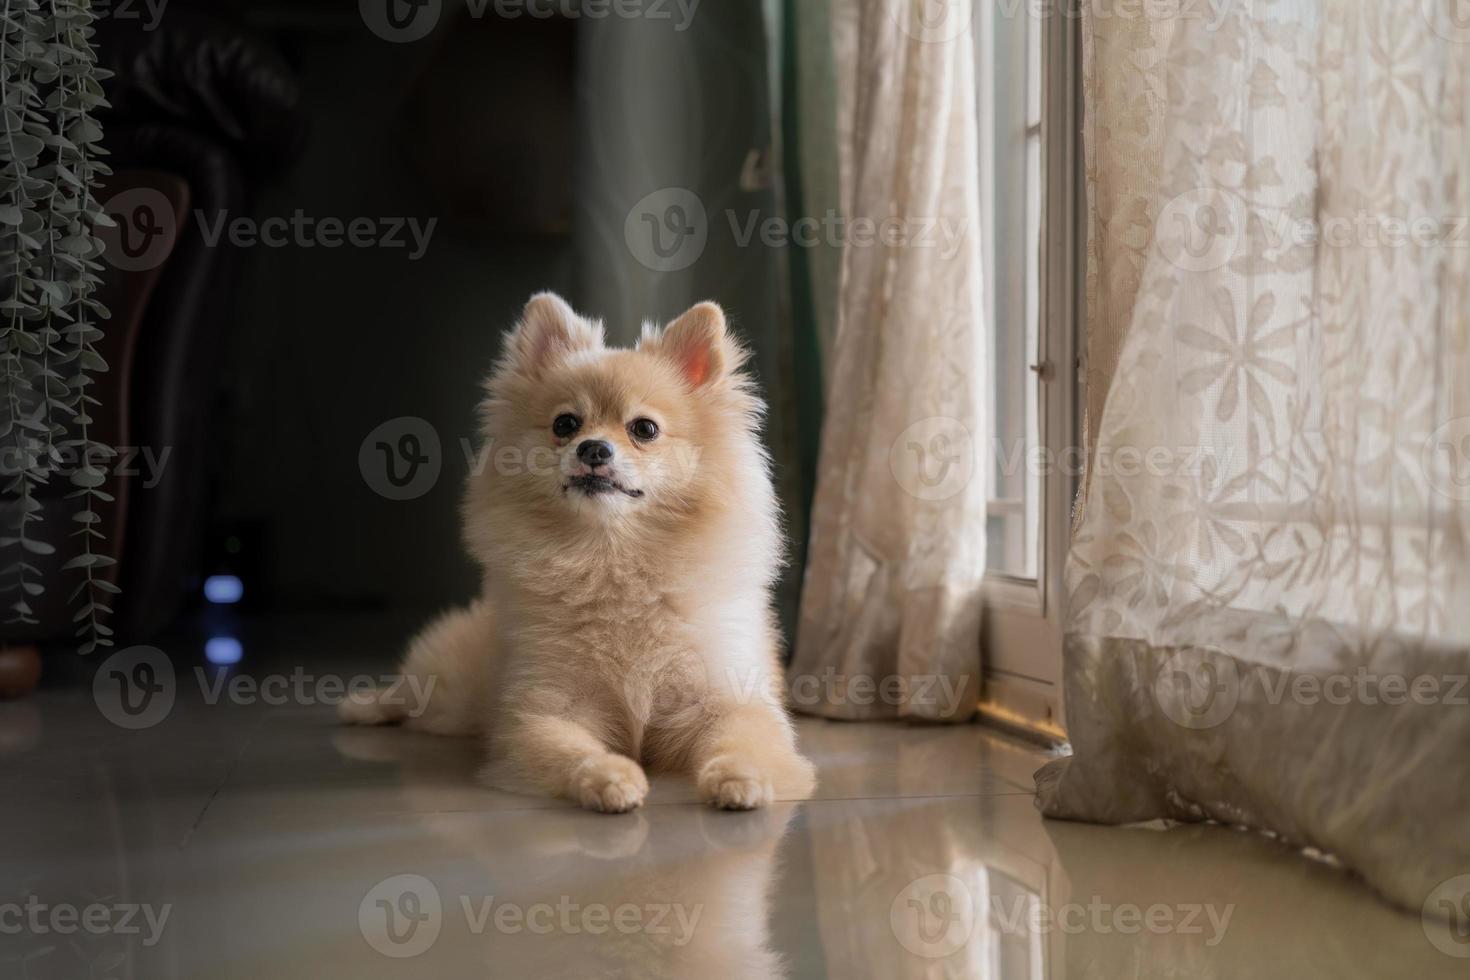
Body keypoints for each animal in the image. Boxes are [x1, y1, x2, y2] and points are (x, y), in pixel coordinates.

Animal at [342, 295, 817, 816]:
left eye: (644, 429)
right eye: (565, 424)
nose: (593, 448)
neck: (610, 560)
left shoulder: (726, 698)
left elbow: (743, 741)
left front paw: (738, 777)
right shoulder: (547, 709)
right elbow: (571, 750)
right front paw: (609, 776)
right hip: (449, 686)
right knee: (413, 690)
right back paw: (365, 705)